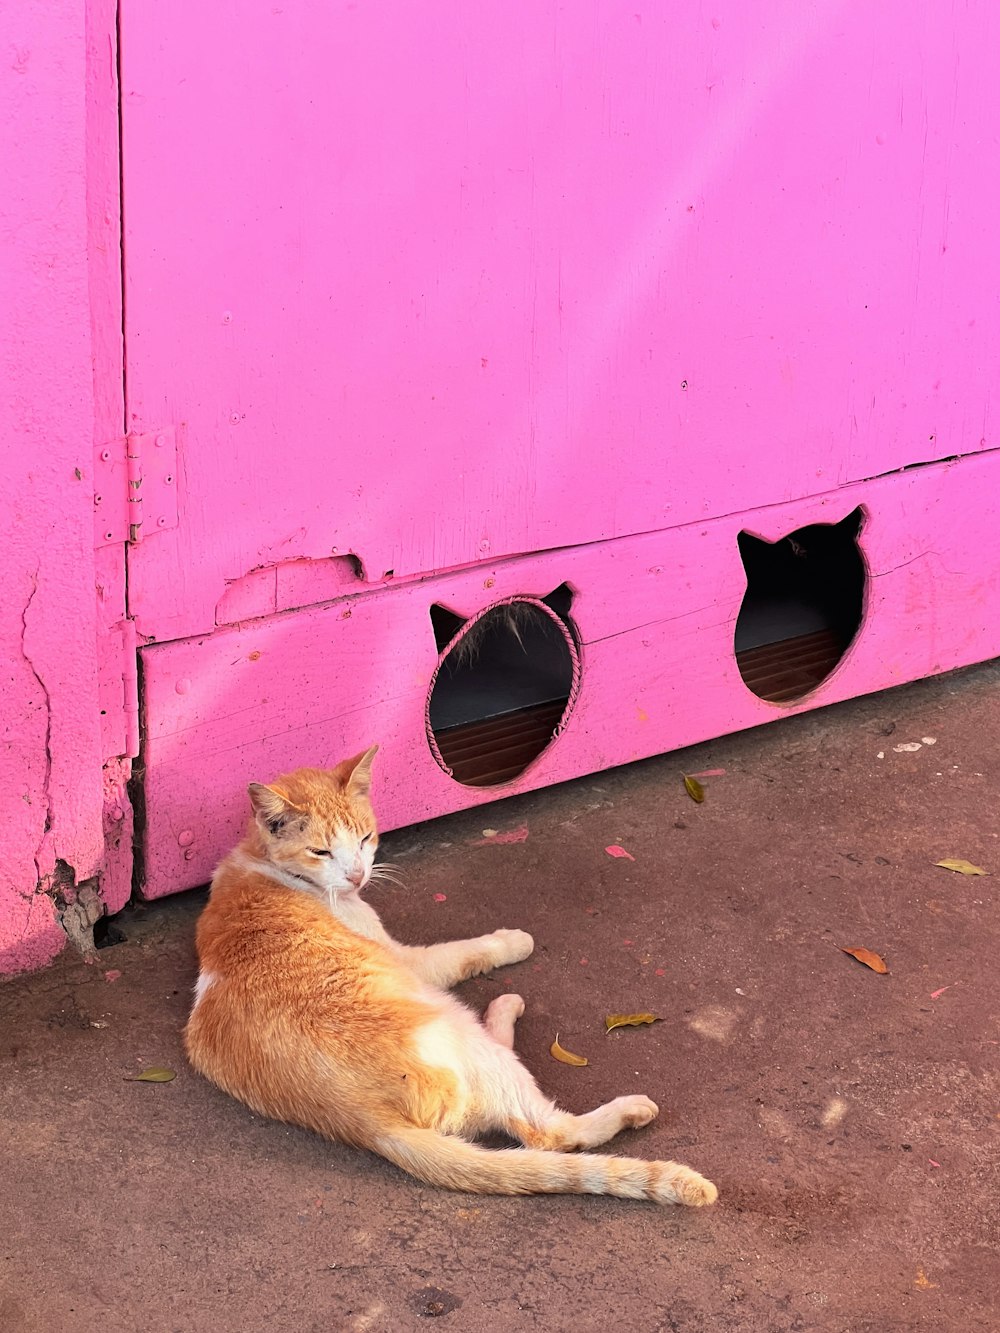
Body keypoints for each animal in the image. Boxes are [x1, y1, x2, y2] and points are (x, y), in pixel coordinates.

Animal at [186, 751, 720, 1210]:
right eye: (322, 851)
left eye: (364, 839)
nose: (358, 877)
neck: (264, 865)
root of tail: (363, 1119)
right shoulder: (408, 960)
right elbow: (465, 952)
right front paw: (513, 941)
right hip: (447, 1021)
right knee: (546, 1131)